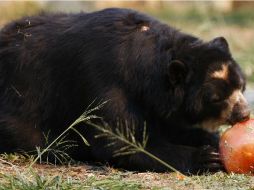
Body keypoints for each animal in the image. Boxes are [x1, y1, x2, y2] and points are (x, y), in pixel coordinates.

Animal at [0, 7, 250, 174]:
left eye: (241, 85)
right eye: (216, 98)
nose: (244, 114)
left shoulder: (153, 101)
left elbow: (166, 124)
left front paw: (209, 139)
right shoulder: (104, 81)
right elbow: (118, 140)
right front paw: (205, 158)